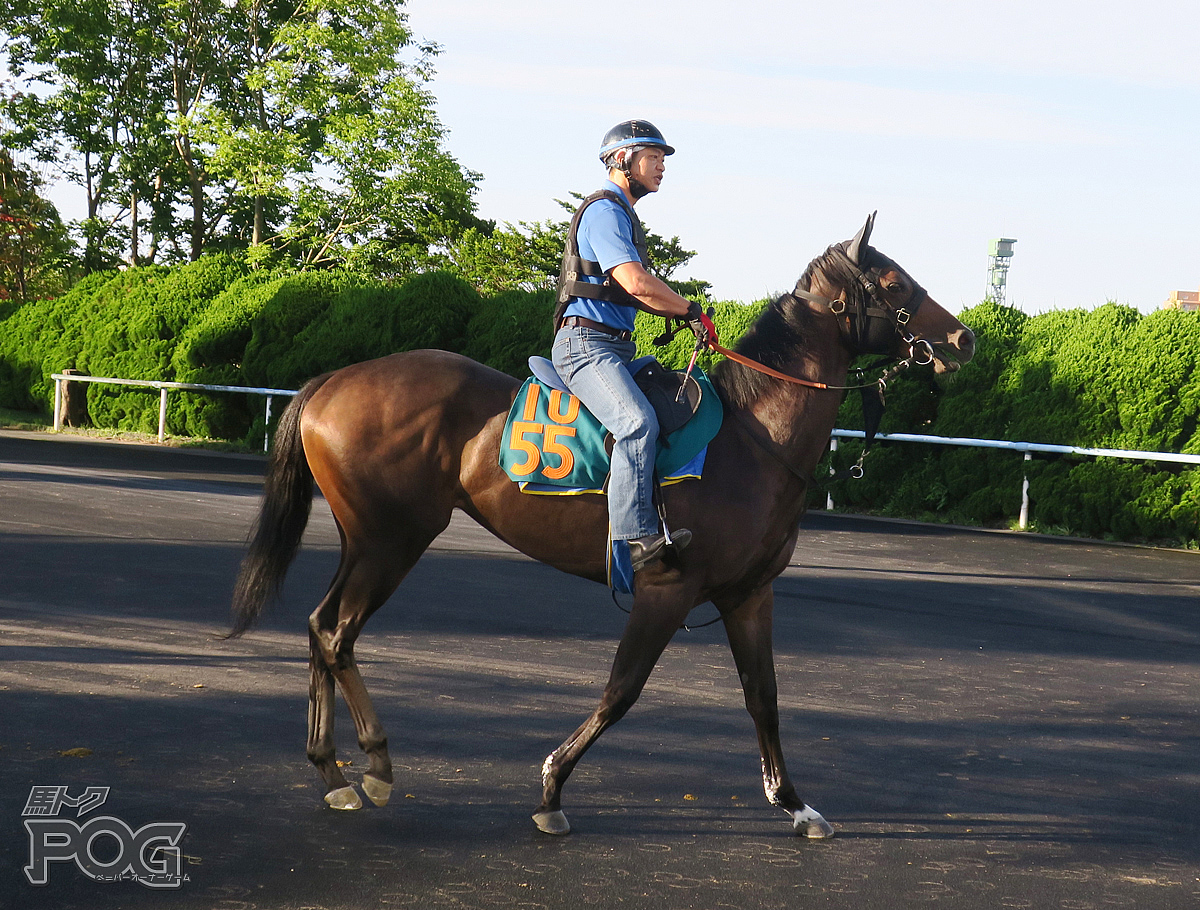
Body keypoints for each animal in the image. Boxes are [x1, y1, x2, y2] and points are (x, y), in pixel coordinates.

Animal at [231, 216, 974, 840]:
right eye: (892, 282)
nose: (962, 338)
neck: (751, 438)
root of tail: (333, 380)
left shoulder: (748, 594)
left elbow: (764, 697)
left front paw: (794, 803)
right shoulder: (667, 589)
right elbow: (622, 690)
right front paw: (552, 789)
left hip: (365, 542)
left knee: (322, 628)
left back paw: (333, 772)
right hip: (393, 542)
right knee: (337, 634)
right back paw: (377, 767)